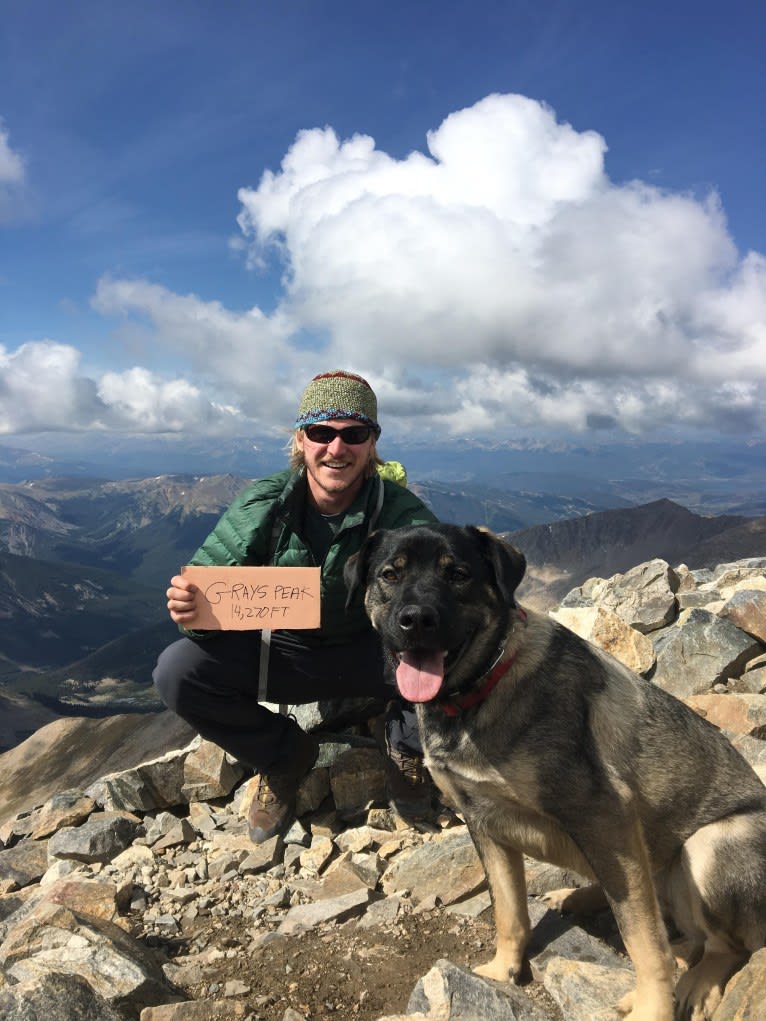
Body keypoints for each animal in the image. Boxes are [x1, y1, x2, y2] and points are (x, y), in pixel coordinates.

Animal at [347, 526, 766, 1021]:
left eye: (459, 574)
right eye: (390, 575)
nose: (416, 620)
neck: (479, 691)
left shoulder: (603, 818)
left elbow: (643, 941)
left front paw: (652, 1007)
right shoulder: (484, 824)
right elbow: (509, 912)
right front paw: (503, 970)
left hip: (708, 845)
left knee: (721, 944)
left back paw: (695, 980)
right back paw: (576, 897)